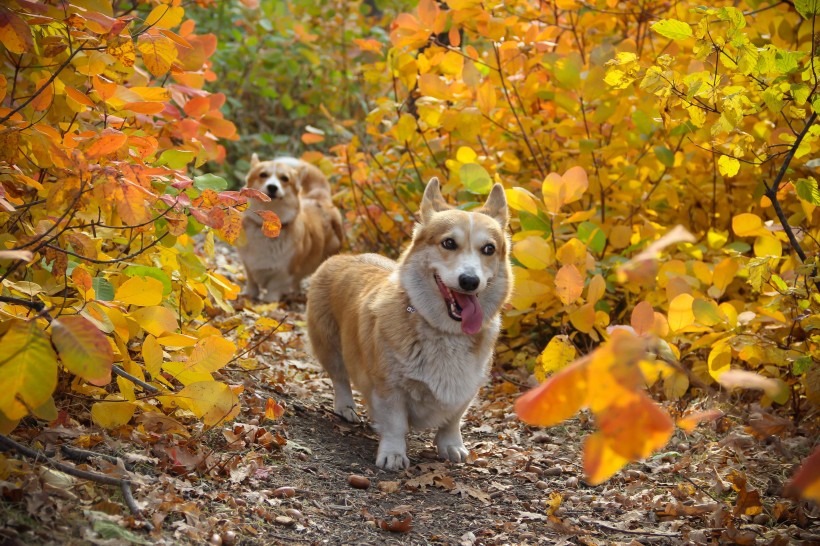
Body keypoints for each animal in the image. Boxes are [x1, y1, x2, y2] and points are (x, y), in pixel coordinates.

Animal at [237, 155, 342, 302]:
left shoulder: (285, 270)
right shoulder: (248, 263)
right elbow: (252, 282)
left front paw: (269, 300)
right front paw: (249, 295)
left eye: (285, 178)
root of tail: (319, 197)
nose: (272, 187)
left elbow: (275, 285)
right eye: (263, 175)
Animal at [308, 177, 512, 468]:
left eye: (489, 249)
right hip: (329, 345)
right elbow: (395, 424)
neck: (444, 332)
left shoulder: (467, 388)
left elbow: (453, 421)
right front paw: (393, 454)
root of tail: (343, 256)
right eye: (449, 243)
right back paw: (346, 408)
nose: (470, 281)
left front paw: (451, 446)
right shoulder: (389, 386)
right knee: (340, 378)